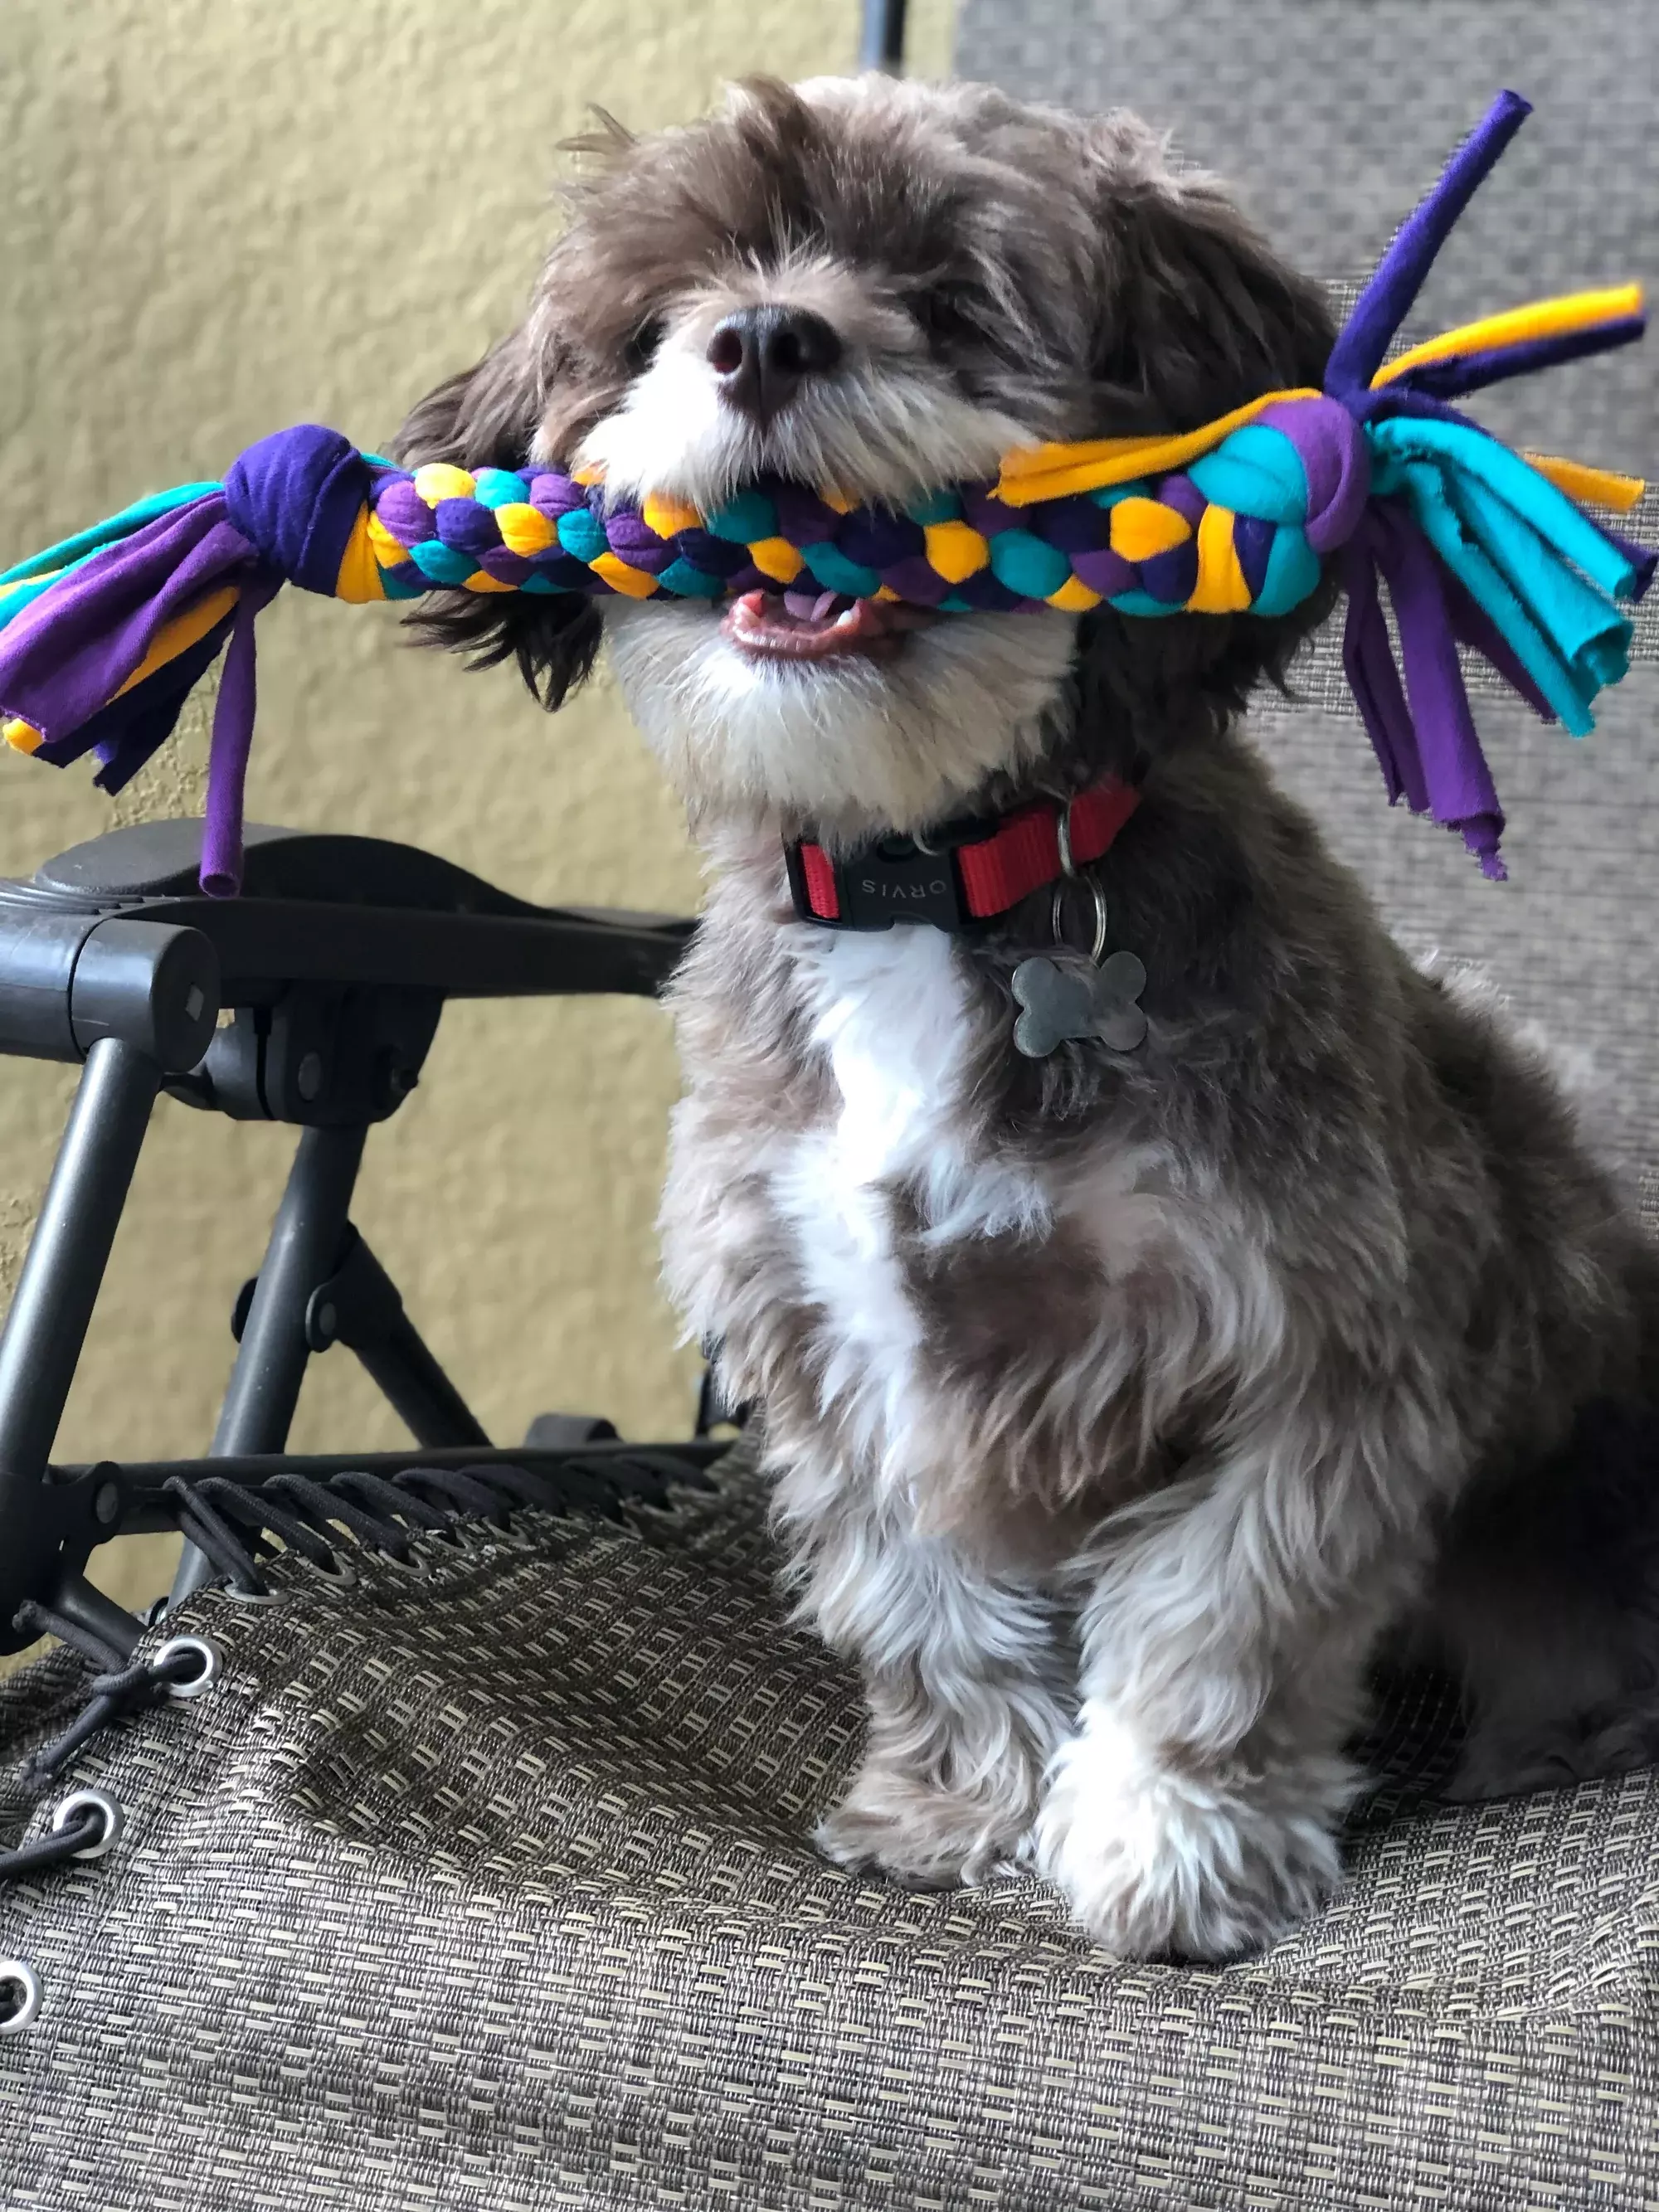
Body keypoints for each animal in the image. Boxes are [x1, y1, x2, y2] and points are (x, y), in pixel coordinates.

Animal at [400, 78, 1659, 1964]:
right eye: (671, 304)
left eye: (946, 293)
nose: (761, 336)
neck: (935, 878)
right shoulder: (843, 1351)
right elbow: (928, 1600)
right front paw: (961, 1805)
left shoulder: (1321, 1336)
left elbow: (1221, 1610)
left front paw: (1167, 1836)